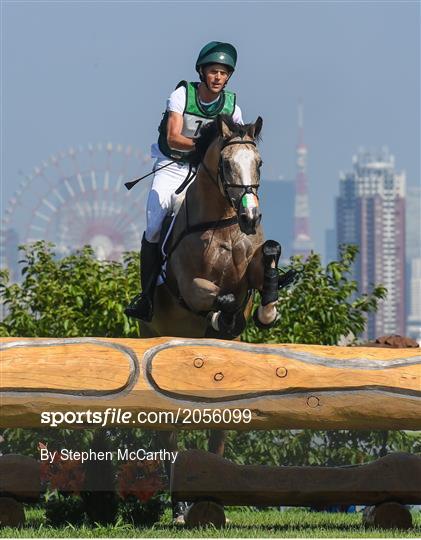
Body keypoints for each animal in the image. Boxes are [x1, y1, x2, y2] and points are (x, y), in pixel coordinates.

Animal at [140, 115, 282, 520]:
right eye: (227, 165)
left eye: (259, 163)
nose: (251, 217)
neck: (223, 222)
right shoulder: (191, 287)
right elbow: (223, 297)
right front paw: (223, 317)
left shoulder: (252, 266)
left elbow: (268, 256)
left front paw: (268, 306)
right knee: (168, 434)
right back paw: (179, 507)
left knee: (218, 432)